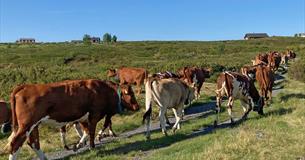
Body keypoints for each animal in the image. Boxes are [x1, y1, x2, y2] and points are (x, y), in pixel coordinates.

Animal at [6, 80, 139, 160]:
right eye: (131, 94)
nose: (137, 107)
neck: (103, 90)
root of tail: (26, 86)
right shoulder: (94, 115)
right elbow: (92, 131)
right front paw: (92, 146)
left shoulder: (83, 117)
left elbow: (86, 131)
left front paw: (78, 145)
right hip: (26, 125)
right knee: (15, 143)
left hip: (34, 125)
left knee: (33, 142)